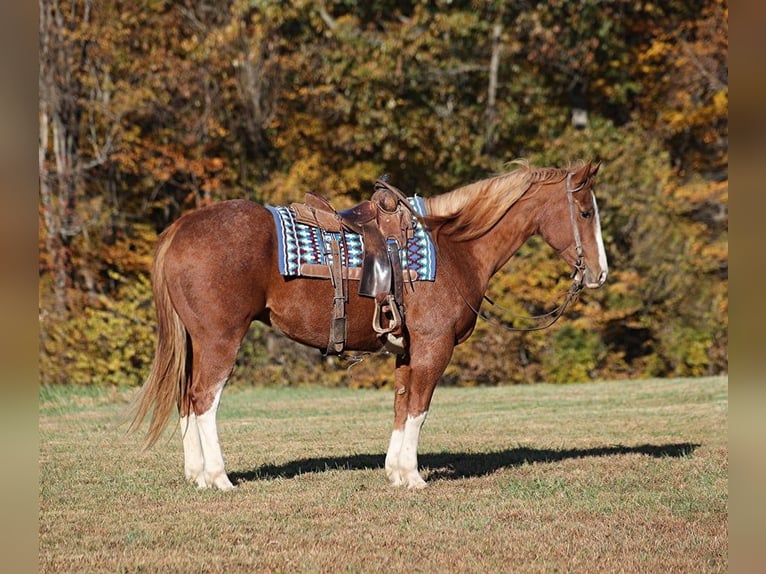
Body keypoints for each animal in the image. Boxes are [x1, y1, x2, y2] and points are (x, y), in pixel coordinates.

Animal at [129, 160, 608, 490]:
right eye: (585, 212)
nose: (599, 273)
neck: (455, 249)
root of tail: (181, 227)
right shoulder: (434, 347)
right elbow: (419, 408)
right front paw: (413, 476)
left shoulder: (407, 351)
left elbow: (401, 406)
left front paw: (395, 471)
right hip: (220, 340)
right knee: (204, 399)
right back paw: (218, 477)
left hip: (196, 342)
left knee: (186, 399)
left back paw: (196, 474)